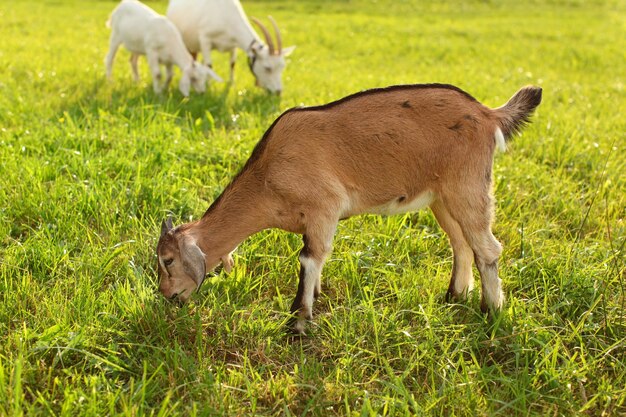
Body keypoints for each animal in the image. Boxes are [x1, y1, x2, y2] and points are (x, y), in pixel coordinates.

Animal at [157, 83, 540, 334]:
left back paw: (491, 312)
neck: (268, 173)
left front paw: (298, 321)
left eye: (168, 260)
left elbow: (309, 259)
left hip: (467, 186)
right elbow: (318, 259)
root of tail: (488, 114)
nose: (168, 296)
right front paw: (313, 298)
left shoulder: (323, 207)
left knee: (488, 248)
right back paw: (454, 296)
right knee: (461, 244)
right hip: (442, 197)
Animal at [165, 0, 294, 93]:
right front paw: (209, 85)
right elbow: (209, 65)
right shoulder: (205, 39)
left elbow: (232, 63)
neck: (226, 15)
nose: (278, 92)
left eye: (282, 67)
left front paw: (231, 83)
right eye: (267, 68)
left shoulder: (234, 45)